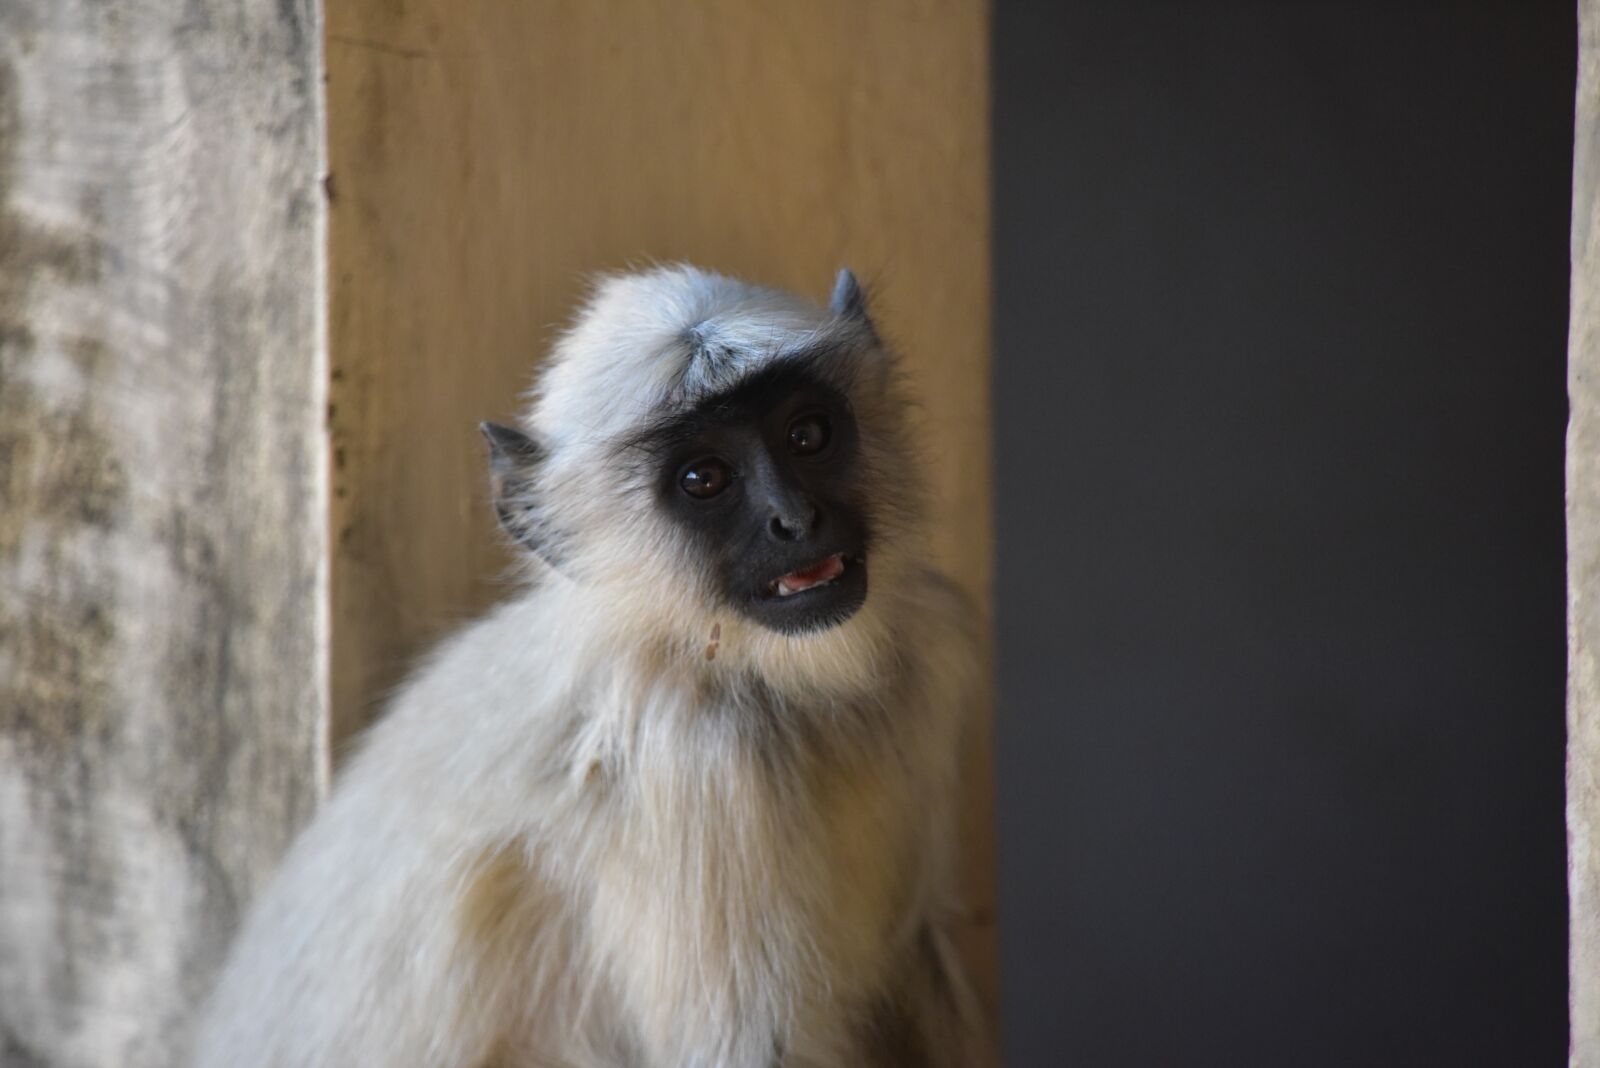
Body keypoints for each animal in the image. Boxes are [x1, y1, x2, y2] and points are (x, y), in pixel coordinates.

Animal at [191, 265, 987, 1068]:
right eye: (704, 479)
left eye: (807, 435)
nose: (794, 521)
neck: (767, 682)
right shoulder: (693, 761)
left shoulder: (931, 652)